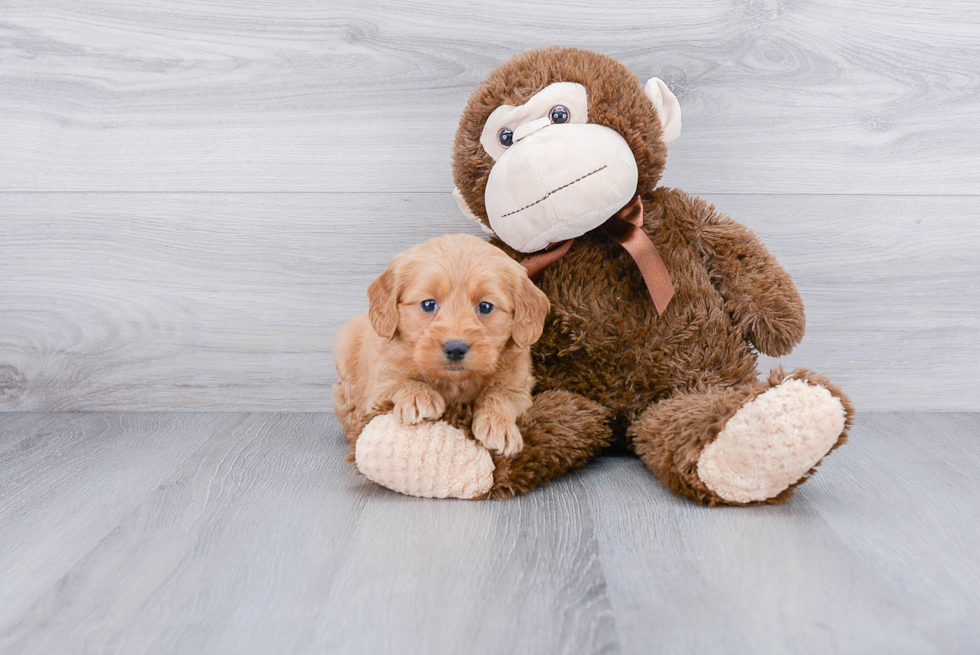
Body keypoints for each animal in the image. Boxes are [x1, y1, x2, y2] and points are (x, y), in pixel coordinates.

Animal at [334, 234, 552, 456]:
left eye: (485, 306)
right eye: (428, 304)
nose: (455, 349)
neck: (454, 381)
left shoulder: (520, 386)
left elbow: (500, 393)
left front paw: (498, 426)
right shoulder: (380, 382)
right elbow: (401, 381)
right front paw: (419, 397)